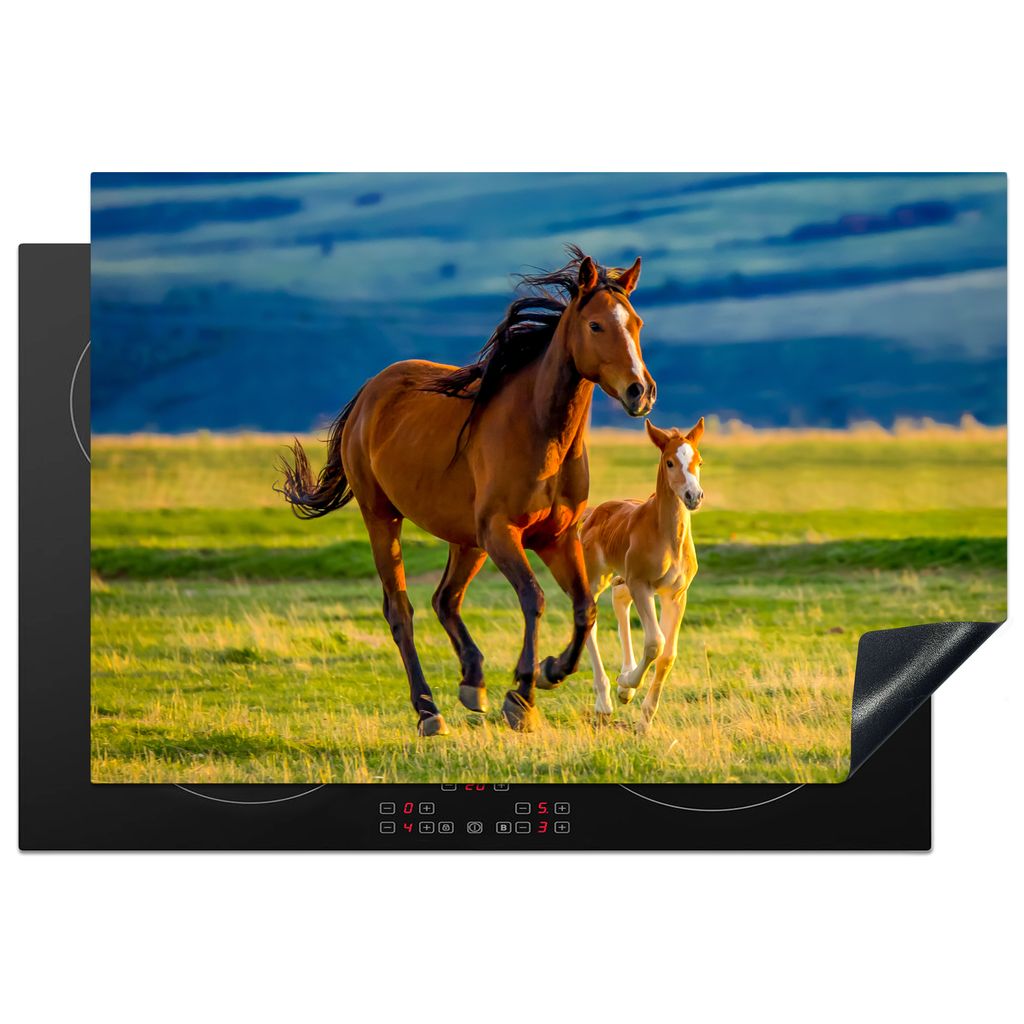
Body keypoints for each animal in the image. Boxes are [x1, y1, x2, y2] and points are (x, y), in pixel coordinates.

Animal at [277, 247, 656, 736]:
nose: (640, 392)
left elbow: (584, 608)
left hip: (466, 540)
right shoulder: (502, 533)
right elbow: (533, 599)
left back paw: (473, 682)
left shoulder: (556, 538)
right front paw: (522, 696)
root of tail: (369, 393)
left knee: (445, 599)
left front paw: (551, 671)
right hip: (384, 518)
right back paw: (428, 709)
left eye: (637, 323)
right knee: (401, 611)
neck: (541, 433)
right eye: (596, 325)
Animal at [579, 417, 705, 730]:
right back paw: (605, 701)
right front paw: (626, 683)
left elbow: (668, 654)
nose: (693, 496)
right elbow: (655, 642)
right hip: (596, 577)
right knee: (590, 619)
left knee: (619, 600)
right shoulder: (642, 585)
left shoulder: (676, 594)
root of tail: (593, 513)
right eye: (670, 462)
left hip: (622, 579)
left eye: (699, 461)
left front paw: (644, 721)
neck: (668, 537)